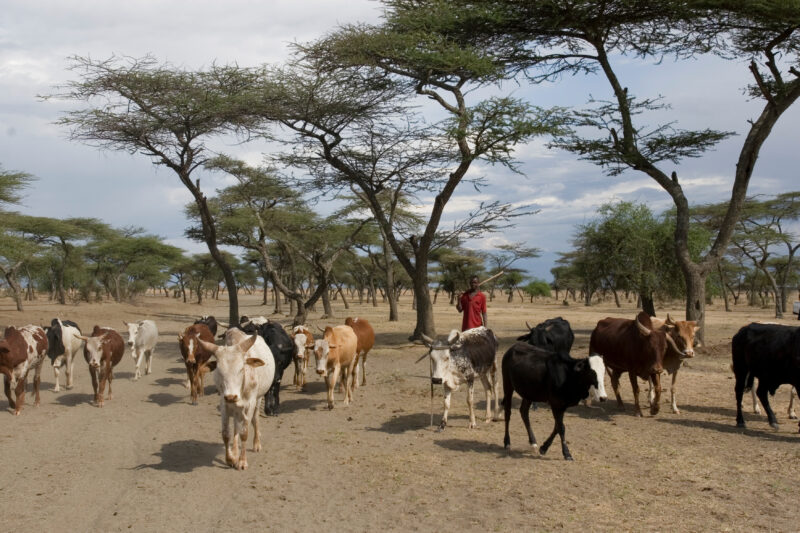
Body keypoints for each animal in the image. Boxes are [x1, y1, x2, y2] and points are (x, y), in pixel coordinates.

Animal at [198, 331, 275, 470]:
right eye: (219, 371)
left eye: (241, 369)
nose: (231, 396)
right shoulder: (224, 404)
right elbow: (226, 434)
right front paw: (231, 459)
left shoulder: (249, 405)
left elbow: (244, 433)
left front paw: (242, 461)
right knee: (235, 425)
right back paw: (234, 451)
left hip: (258, 400)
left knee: (255, 420)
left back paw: (256, 444)